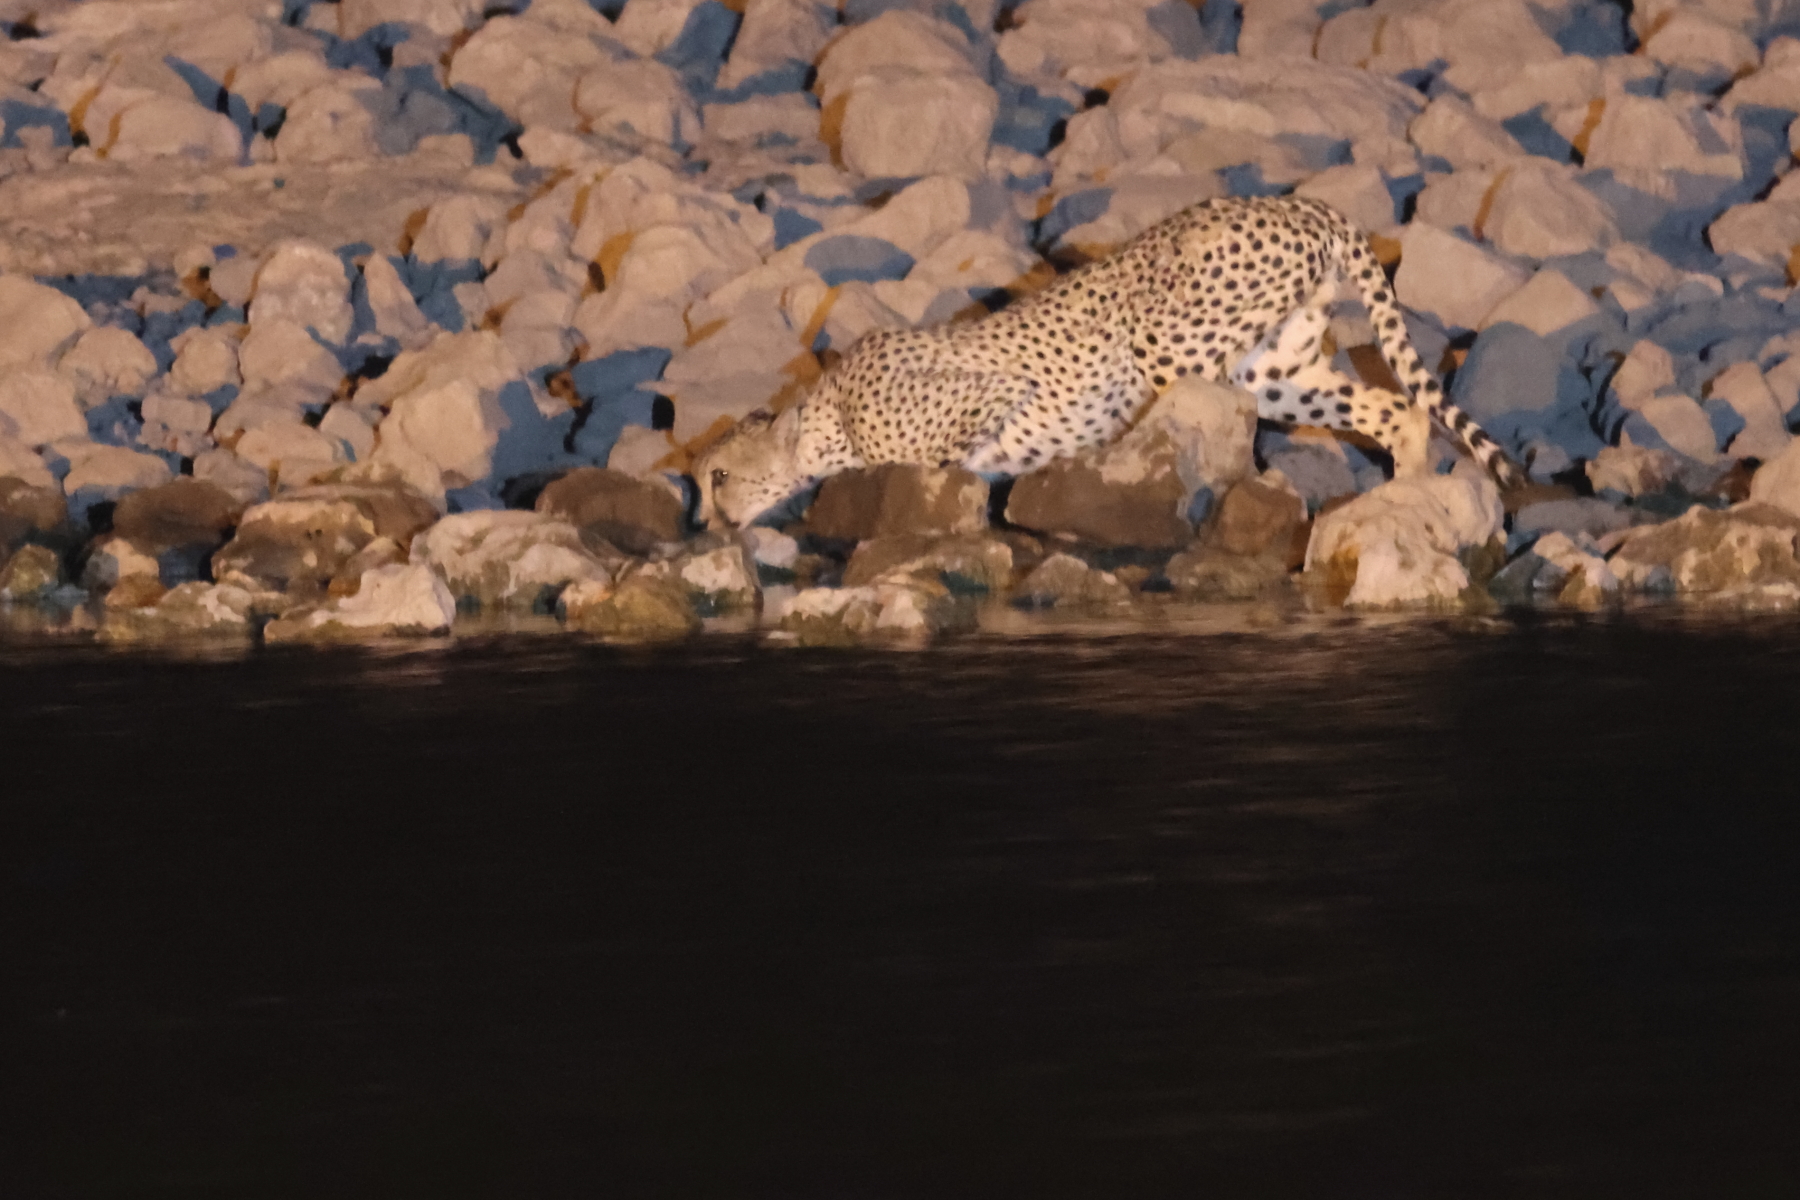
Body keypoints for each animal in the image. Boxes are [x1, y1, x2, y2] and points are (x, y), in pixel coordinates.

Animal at [695, 194, 1523, 528]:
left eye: (719, 475)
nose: (709, 521)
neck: (826, 414)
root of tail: (1297, 202)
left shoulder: (990, 396)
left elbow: (947, 460)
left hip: (1172, 346)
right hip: (1276, 372)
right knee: (1397, 408)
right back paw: (1405, 500)